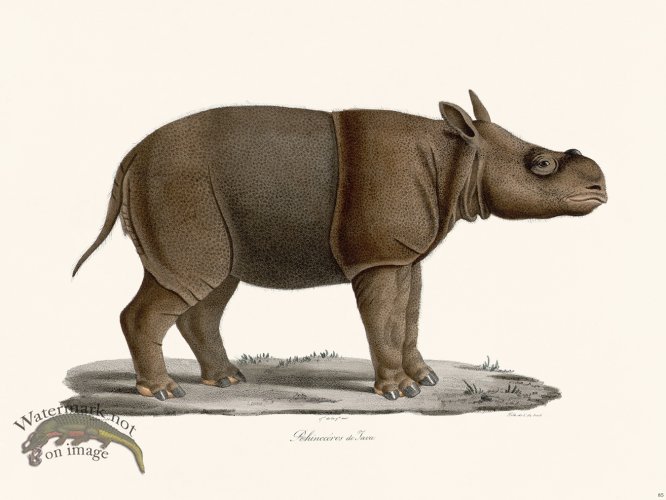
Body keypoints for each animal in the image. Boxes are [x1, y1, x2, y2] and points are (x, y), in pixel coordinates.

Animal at [73, 90, 607, 401]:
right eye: (541, 165)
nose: (600, 186)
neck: (458, 157)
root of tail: (131, 156)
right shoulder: (378, 257)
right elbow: (385, 321)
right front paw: (399, 392)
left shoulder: (401, 254)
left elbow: (409, 316)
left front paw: (425, 379)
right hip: (178, 182)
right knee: (190, 281)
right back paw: (162, 394)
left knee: (212, 284)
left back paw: (225, 382)